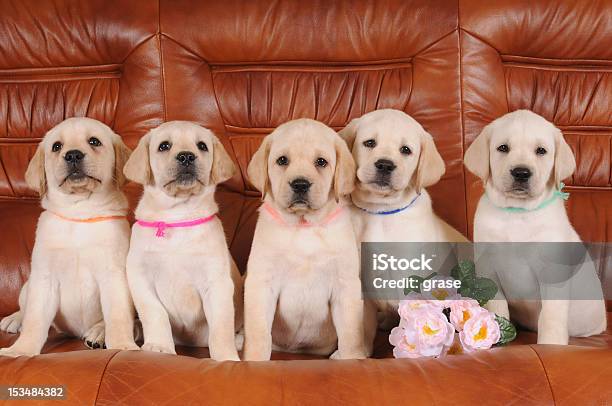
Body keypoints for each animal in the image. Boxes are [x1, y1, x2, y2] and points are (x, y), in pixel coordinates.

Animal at [0, 117, 137, 356]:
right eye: (56, 146)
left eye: (94, 141)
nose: (73, 155)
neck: (79, 212)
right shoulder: (44, 277)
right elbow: (35, 319)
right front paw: (21, 351)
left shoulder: (114, 275)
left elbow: (118, 316)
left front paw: (122, 345)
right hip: (28, 284)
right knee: (26, 308)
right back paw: (14, 319)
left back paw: (99, 333)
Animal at [243, 118, 368, 362]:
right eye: (282, 160)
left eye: (321, 162)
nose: (300, 184)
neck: (304, 226)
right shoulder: (261, 282)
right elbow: (258, 333)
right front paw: (254, 360)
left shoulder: (345, 285)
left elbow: (351, 334)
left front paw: (352, 359)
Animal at [466, 109, 604, 344]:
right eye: (503, 148)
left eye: (541, 151)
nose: (521, 172)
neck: (518, 213)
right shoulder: (488, 269)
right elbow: (498, 305)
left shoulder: (553, 273)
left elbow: (550, 315)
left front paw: (551, 344)